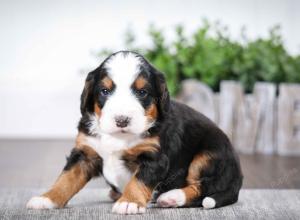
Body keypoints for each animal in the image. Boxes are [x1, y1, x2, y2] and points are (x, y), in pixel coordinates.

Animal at [26, 51, 244, 213]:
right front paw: (47, 199)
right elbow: (66, 179)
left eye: (142, 92)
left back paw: (171, 197)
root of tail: (238, 177)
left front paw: (128, 202)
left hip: (209, 154)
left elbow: (138, 180)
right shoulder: (85, 153)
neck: (118, 137)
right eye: (105, 91)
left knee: (204, 186)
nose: (122, 120)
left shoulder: (154, 157)